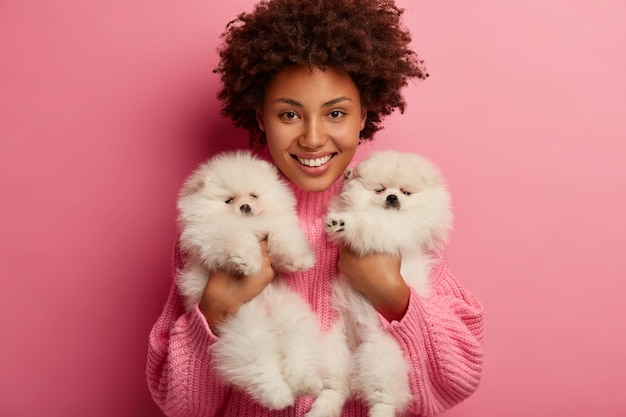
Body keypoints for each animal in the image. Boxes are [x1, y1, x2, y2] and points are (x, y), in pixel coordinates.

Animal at [176, 150, 322, 410]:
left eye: (254, 195)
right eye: (228, 201)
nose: (245, 206)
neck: (250, 224)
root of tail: (270, 324)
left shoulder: (274, 225)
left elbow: (284, 237)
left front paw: (299, 259)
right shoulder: (212, 233)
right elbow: (235, 236)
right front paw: (248, 261)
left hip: (293, 321)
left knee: (297, 354)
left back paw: (306, 383)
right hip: (246, 335)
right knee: (260, 368)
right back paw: (278, 395)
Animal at [304, 150, 450, 416]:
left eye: (406, 192)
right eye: (380, 189)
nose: (392, 198)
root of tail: (356, 345)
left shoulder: (396, 228)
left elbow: (369, 223)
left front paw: (347, 223)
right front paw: (347, 184)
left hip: (382, 355)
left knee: (384, 398)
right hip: (333, 347)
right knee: (334, 388)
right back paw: (321, 408)